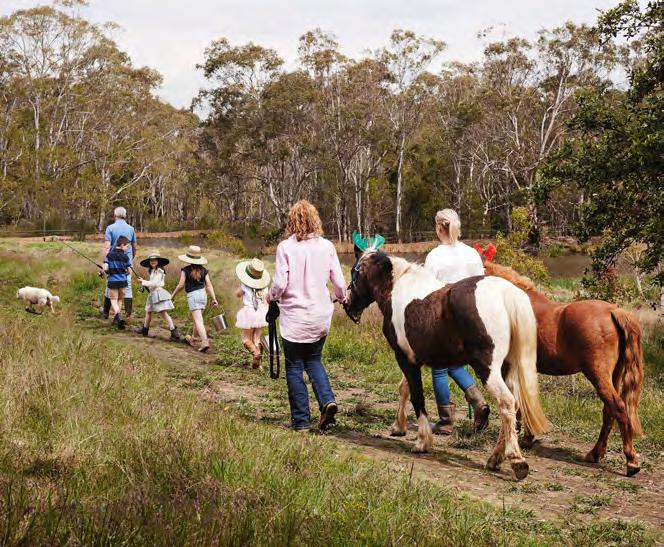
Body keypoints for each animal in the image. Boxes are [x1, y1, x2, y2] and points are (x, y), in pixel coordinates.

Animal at [343, 250, 549, 480]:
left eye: (354, 272)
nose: (347, 304)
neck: (397, 290)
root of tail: (507, 293)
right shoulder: (411, 358)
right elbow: (404, 388)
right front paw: (398, 427)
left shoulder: (404, 358)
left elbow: (417, 397)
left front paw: (422, 442)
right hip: (508, 369)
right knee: (514, 405)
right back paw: (495, 459)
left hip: (487, 369)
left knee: (506, 402)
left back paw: (516, 461)